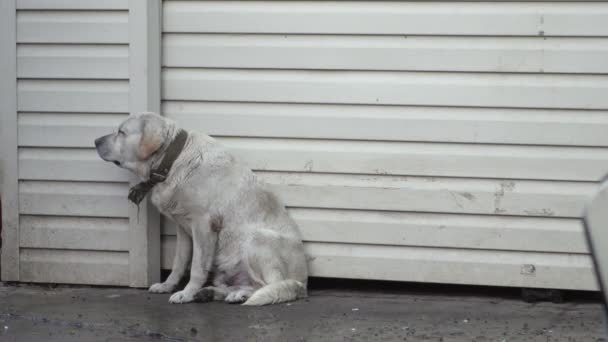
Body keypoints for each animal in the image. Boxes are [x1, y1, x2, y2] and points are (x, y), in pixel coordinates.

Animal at [95, 113, 308, 304]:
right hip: (224, 270)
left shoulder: (203, 224)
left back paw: (237, 295)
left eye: (121, 132)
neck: (173, 161)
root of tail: (303, 284)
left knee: (268, 285)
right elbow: (178, 263)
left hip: (258, 239)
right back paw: (213, 292)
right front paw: (167, 285)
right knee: (244, 284)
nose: (95, 141)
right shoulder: (183, 230)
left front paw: (186, 294)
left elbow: (196, 267)